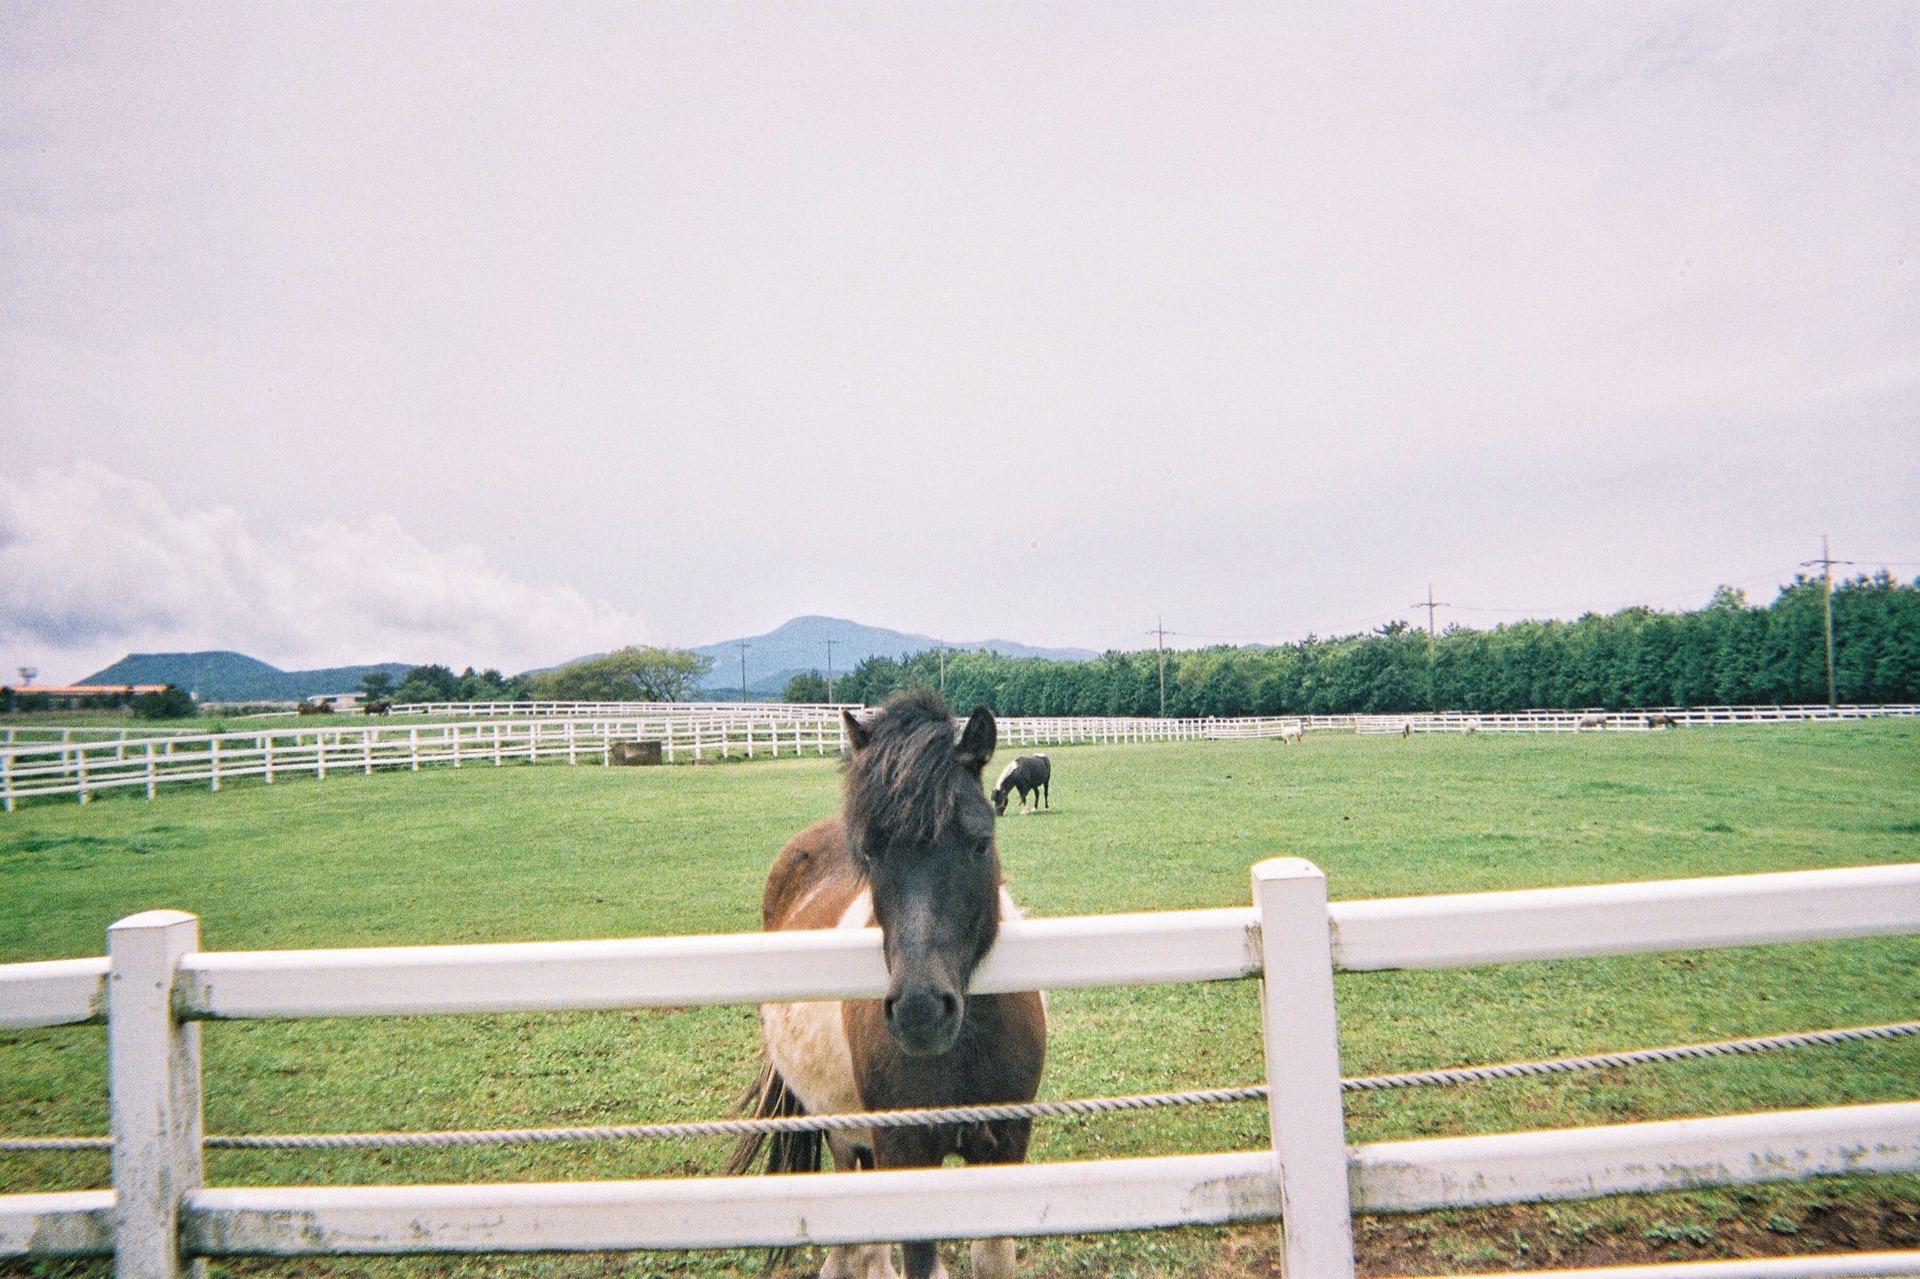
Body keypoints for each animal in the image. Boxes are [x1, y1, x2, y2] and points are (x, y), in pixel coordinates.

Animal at [729, 687, 1052, 1275]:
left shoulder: (1005, 1144)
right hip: (845, 1132)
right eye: (873, 851)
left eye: (980, 842)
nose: (921, 1011)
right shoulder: (905, 1155)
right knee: (858, 1248)